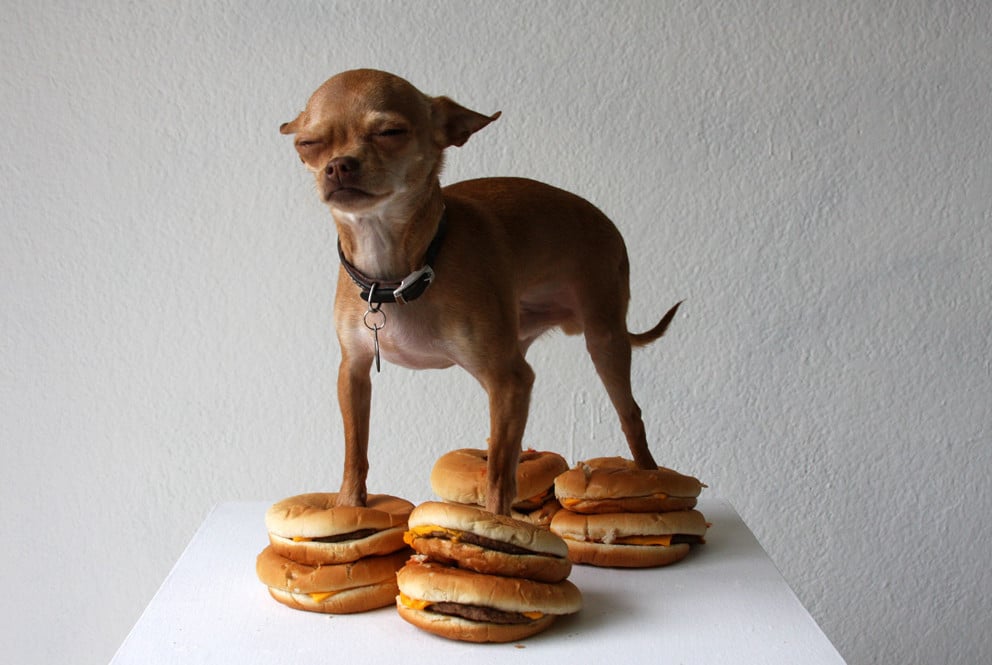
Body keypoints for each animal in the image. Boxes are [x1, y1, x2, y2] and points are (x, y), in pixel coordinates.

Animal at [280, 68, 680, 512]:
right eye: (308, 145)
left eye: (390, 132)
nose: (337, 167)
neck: (399, 273)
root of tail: (606, 222)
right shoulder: (353, 373)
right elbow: (355, 452)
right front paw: (349, 506)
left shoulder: (507, 380)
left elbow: (499, 483)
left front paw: (497, 521)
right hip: (520, 346)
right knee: (510, 439)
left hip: (603, 340)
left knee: (631, 416)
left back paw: (649, 477)